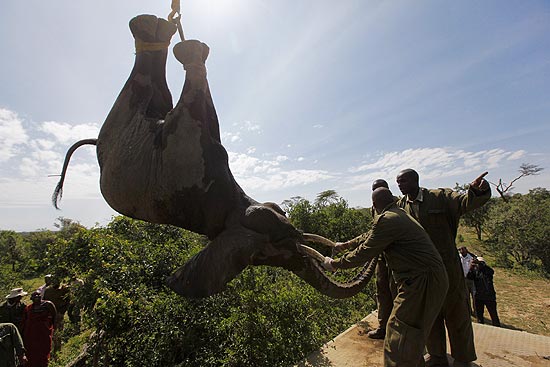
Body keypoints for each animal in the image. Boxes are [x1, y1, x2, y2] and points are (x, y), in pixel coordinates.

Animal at [52, 15, 380, 302]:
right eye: (276, 245)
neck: (227, 213)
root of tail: (98, 145)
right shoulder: (188, 150)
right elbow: (199, 102)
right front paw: (192, 49)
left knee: (154, 88)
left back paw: (156, 29)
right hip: (120, 119)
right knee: (144, 83)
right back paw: (154, 29)